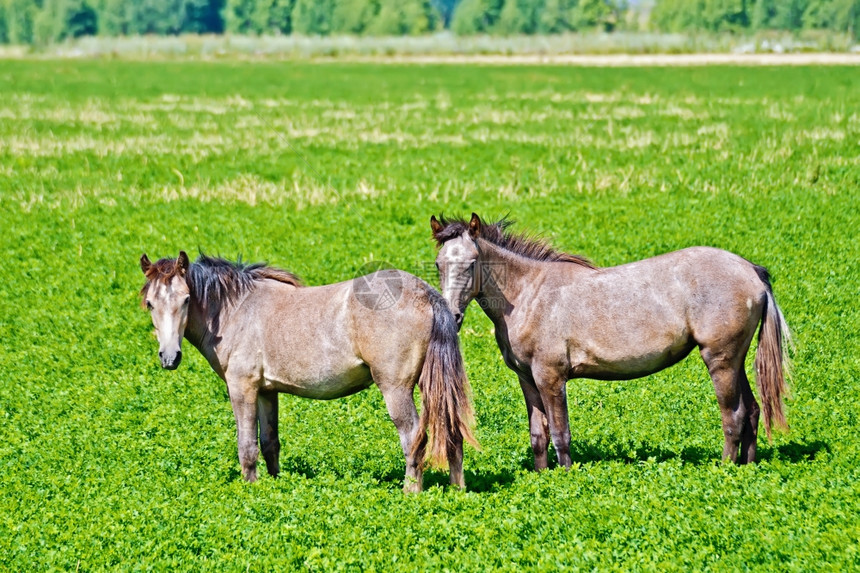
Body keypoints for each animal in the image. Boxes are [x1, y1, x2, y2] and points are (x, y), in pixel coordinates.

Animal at [138, 251, 480, 492]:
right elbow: (270, 444)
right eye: (150, 303)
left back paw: (411, 492)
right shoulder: (267, 391)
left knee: (413, 439)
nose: (169, 358)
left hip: (395, 389)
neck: (235, 310)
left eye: (186, 299)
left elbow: (247, 447)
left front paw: (251, 490)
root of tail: (427, 293)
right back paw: (457, 490)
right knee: (452, 431)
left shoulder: (242, 388)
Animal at [430, 212, 792, 466]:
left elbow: (560, 434)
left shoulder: (551, 377)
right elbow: (538, 435)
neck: (527, 295)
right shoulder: (528, 379)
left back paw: (725, 469)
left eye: (472, 263)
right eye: (438, 264)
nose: (452, 316)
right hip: (735, 360)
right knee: (752, 411)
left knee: (734, 416)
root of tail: (752, 270)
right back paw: (747, 466)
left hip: (720, 360)